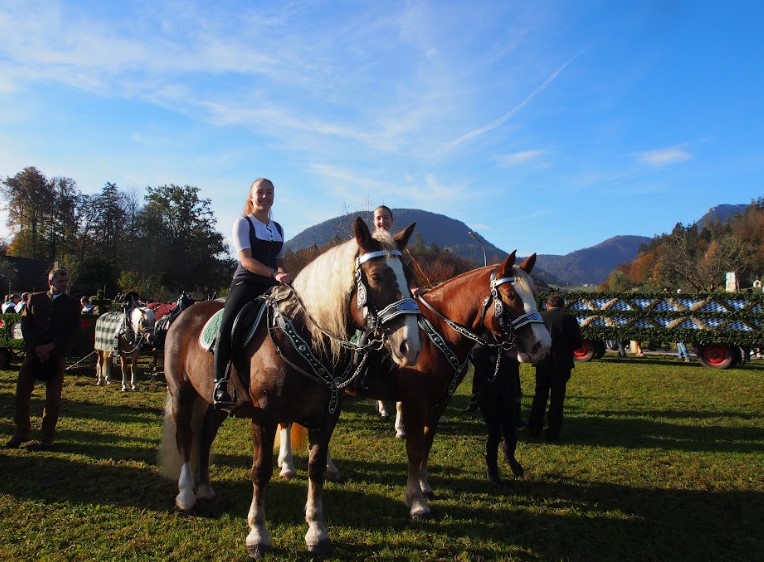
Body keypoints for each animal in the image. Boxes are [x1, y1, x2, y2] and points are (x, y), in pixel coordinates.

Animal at [160, 219, 424, 556]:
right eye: (377, 276)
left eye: (409, 276)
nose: (410, 346)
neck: (304, 337)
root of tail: (185, 314)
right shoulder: (265, 418)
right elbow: (260, 471)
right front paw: (257, 534)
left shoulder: (326, 418)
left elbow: (316, 470)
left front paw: (317, 532)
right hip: (182, 393)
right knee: (185, 437)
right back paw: (186, 496)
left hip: (218, 402)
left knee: (205, 436)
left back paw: (204, 488)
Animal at [278, 252, 552, 520]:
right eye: (511, 295)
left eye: (533, 294)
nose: (543, 344)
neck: (439, 332)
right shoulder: (416, 401)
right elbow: (415, 449)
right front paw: (417, 502)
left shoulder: (439, 402)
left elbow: (426, 444)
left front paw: (424, 486)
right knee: (286, 422)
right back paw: (287, 465)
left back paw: (329, 468)